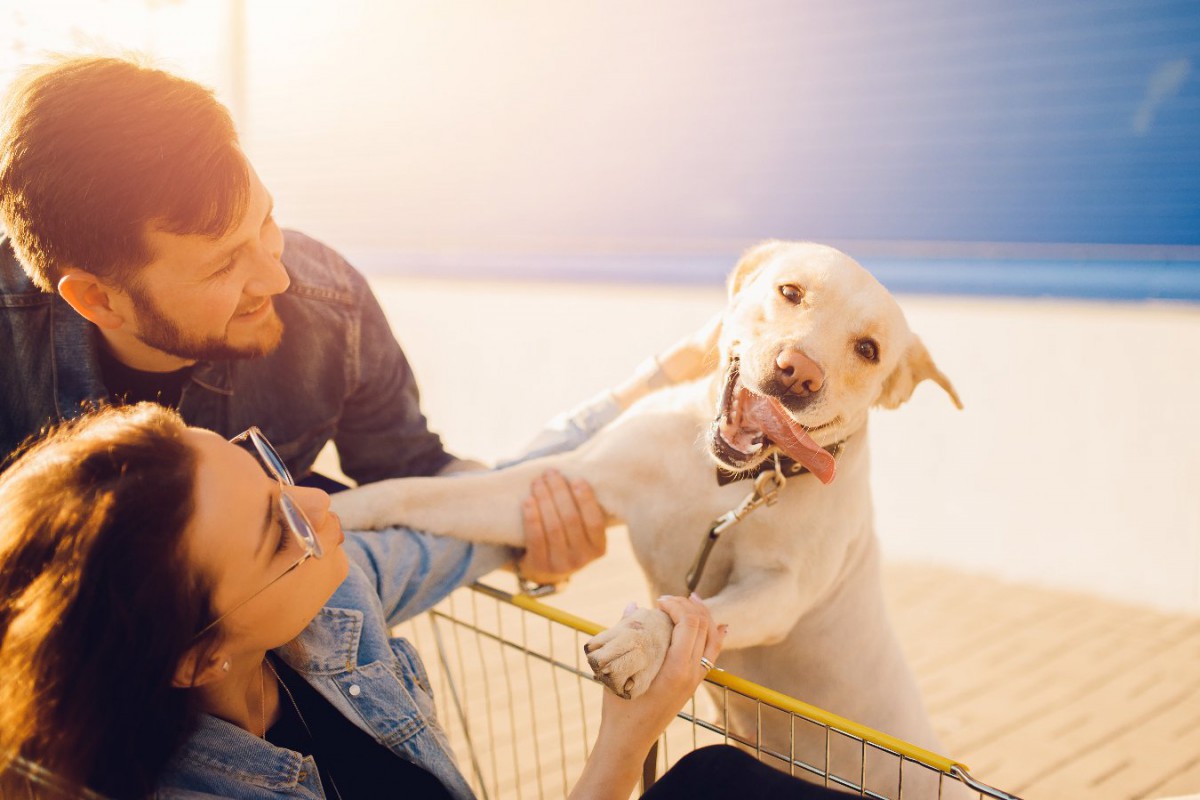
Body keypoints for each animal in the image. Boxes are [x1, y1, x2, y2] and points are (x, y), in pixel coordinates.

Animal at [336, 241, 964, 796]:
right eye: (790, 292)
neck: (727, 481)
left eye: (868, 350)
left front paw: (640, 644)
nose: (799, 371)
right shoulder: (573, 479)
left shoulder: (778, 593)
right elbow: (420, 493)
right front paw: (337, 513)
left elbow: (695, 611)